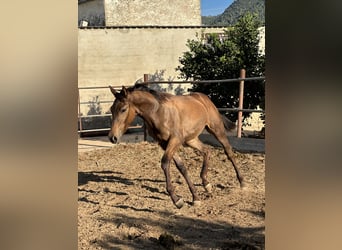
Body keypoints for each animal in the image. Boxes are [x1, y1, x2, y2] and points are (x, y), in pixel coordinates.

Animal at [108, 84, 244, 209]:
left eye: (123, 109)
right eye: (111, 109)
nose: (112, 137)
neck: (158, 112)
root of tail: (204, 98)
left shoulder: (175, 140)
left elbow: (165, 163)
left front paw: (176, 200)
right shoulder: (164, 143)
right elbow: (181, 166)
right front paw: (195, 197)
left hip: (216, 129)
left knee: (228, 152)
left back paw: (242, 182)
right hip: (191, 140)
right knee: (207, 151)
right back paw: (206, 183)